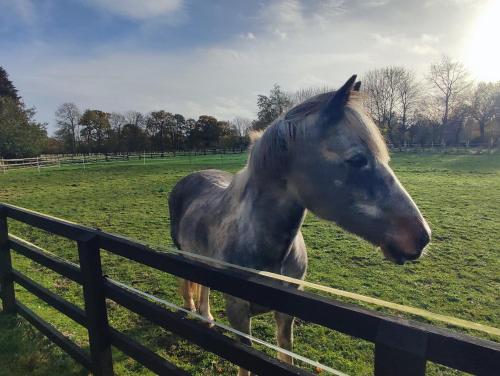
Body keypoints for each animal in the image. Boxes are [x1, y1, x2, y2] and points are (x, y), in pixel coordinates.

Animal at [168, 75, 430, 374]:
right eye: (357, 159)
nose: (422, 235)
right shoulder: (238, 311)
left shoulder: (287, 312)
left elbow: (286, 356)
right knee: (189, 282)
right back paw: (192, 309)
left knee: (204, 286)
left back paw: (206, 315)